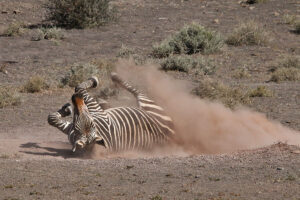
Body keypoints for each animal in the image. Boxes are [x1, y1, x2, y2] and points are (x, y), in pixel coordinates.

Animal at [47, 72, 175, 152]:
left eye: (92, 123)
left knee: (136, 91)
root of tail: (172, 134)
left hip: (147, 103)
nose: (75, 97)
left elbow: (79, 88)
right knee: (136, 92)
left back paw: (113, 80)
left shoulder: (95, 110)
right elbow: (51, 119)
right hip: (147, 105)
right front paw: (66, 109)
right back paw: (113, 81)